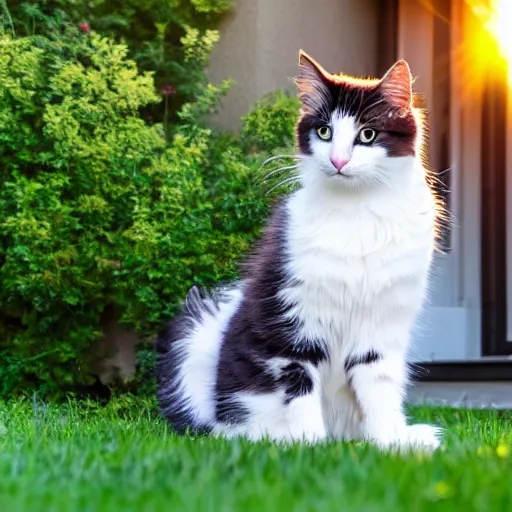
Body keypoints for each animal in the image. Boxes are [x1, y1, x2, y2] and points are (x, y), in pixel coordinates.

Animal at [156, 51, 444, 452]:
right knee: (227, 425)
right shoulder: (290, 322)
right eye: (324, 132)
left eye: (367, 134)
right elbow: (298, 387)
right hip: (201, 336)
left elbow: (379, 389)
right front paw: (309, 447)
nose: (338, 161)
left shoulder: (381, 327)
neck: (356, 211)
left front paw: (390, 443)